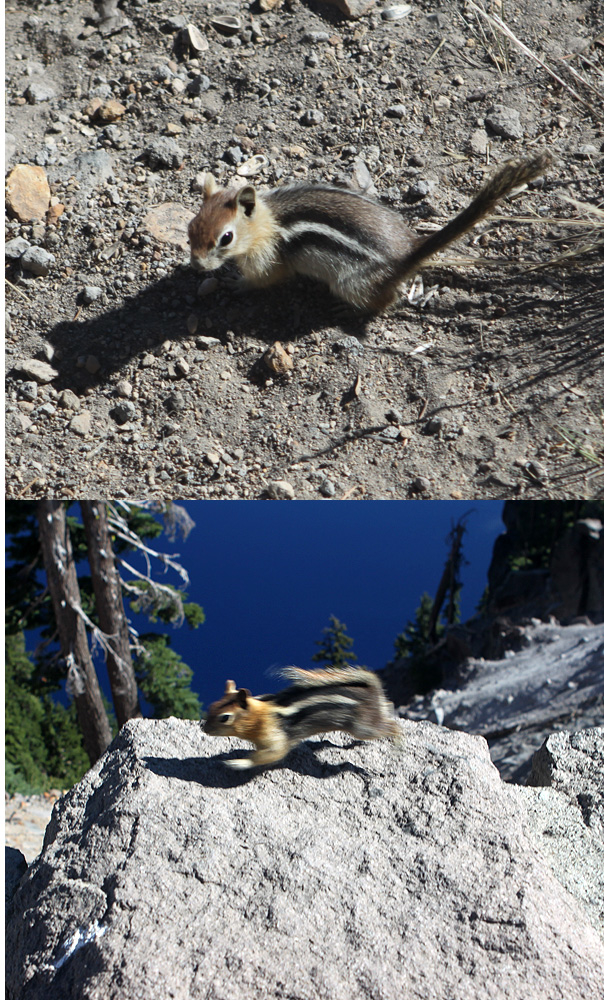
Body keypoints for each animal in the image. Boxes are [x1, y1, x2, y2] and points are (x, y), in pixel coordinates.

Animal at [189, 152, 552, 312]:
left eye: (226, 238)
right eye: (191, 227)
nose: (196, 266)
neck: (264, 224)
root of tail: (408, 252)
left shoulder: (268, 260)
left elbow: (265, 280)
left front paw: (237, 283)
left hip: (350, 283)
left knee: (385, 300)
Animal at [204, 668, 402, 768]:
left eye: (225, 718)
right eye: (211, 706)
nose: (204, 728)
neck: (259, 716)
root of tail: (372, 691)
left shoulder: (275, 738)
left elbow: (272, 754)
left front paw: (237, 762)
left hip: (363, 728)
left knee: (392, 726)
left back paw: (398, 742)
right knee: (389, 705)